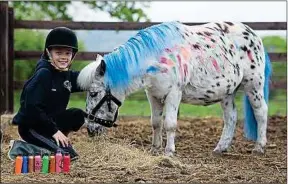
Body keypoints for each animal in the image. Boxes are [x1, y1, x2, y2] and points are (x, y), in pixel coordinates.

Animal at [77, 21, 272, 157]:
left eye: (93, 93)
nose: (90, 130)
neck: (155, 57)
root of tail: (254, 34)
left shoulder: (174, 94)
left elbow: (170, 124)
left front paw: (169, 152)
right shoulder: (153, 95)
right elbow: (156, 122)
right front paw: (155, 149)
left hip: (254, 85)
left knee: (261, 112)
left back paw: (259, 147)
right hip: (227, 92)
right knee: (231, 117)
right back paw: (220, 148)